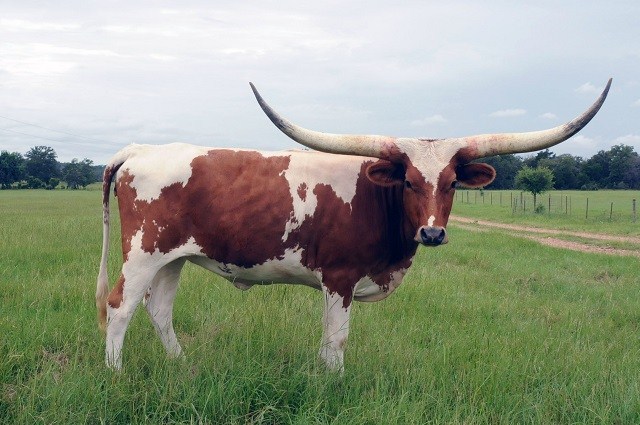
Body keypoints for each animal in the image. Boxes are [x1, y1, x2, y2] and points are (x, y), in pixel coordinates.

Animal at [96, 79, 611, 371]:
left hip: (173, 258)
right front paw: (333, 383)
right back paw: (115, 373)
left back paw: (180, 366)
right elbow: (335, 340)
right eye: (407, 181)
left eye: (451, 183)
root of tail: (140, 150)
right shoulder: (339, 278)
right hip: (141, 253)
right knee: (120, 307)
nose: (432, 233)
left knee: (158, 310)